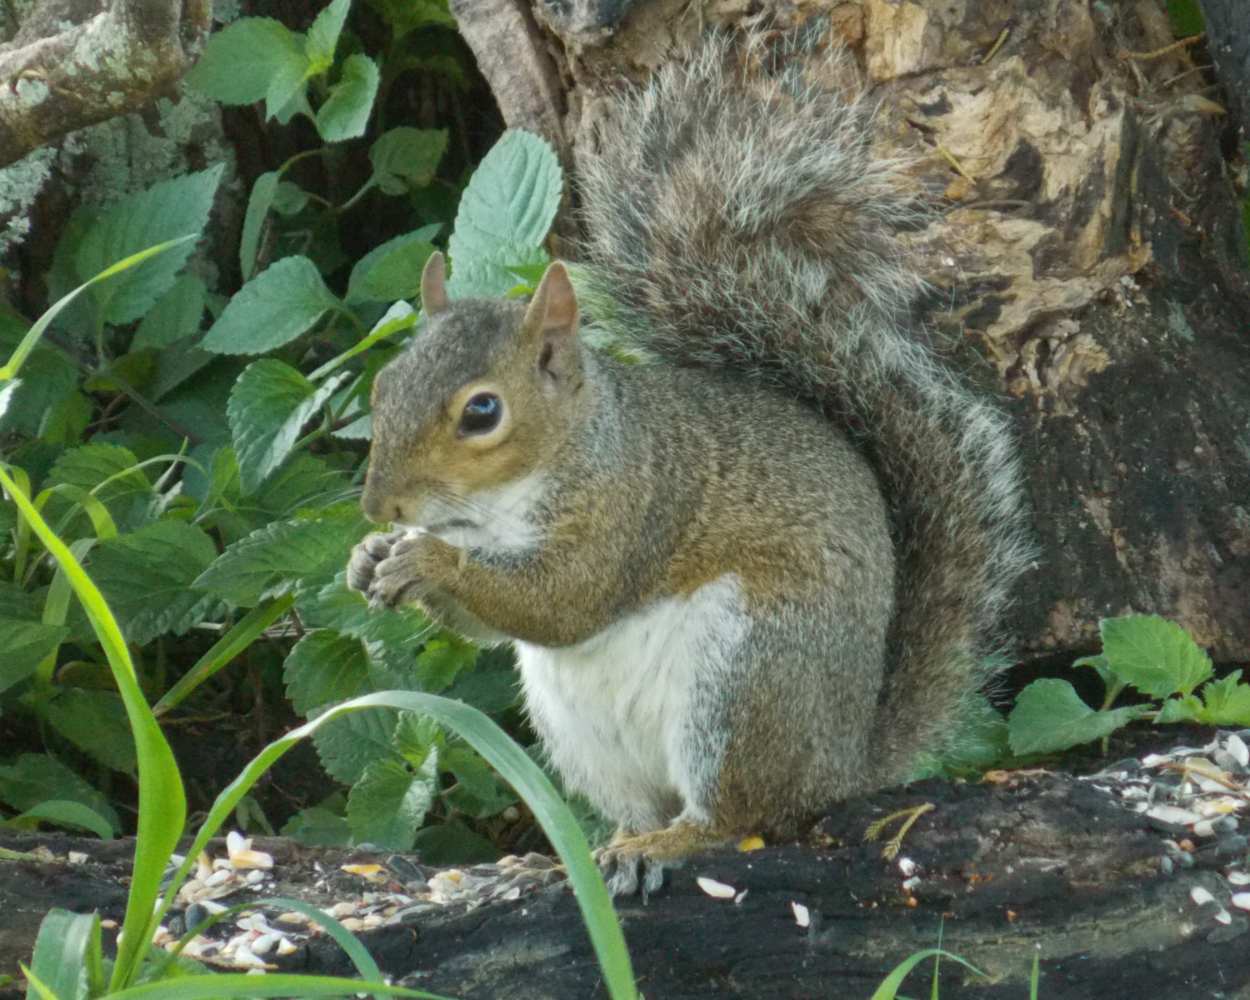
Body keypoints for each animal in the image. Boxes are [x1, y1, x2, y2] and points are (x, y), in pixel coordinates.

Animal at [346, 25, 1031, 896]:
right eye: (384, 383)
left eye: (482, 412)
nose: (380, 507)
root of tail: (843, 765)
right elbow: (494, 626)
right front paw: (371, 559)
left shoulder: (634, 505)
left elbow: (562, 602)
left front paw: (426, 560)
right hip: (583, 731)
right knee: (644, 803)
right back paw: (604, 847)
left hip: (743, 677)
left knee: (741, 817)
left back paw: (669, 844)